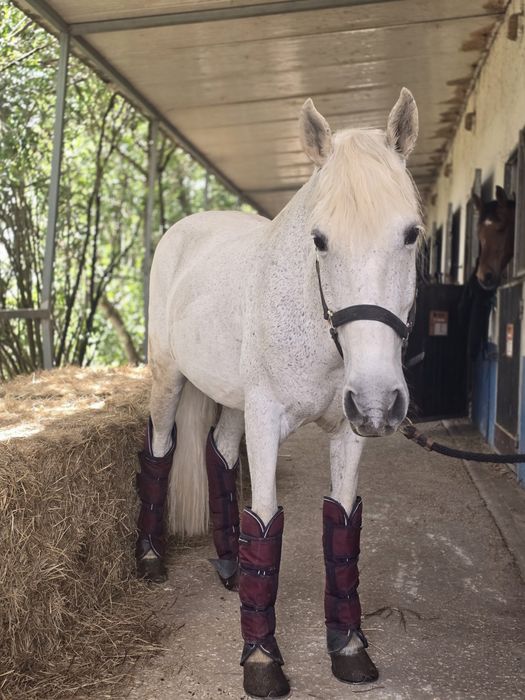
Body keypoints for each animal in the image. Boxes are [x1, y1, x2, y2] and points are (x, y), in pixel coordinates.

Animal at [134, 88, 422, 699]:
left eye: (411, 234)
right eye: (320, 240)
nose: (380, 401)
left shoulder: (347, 430)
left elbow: (342, 524)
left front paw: (349, 648)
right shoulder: (267, 420)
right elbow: (265, 519)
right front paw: (262, 660)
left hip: (234, 402)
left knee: (219, 455)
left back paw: (230, 567)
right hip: (170, 379)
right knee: (161, 450)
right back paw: (147, 558)